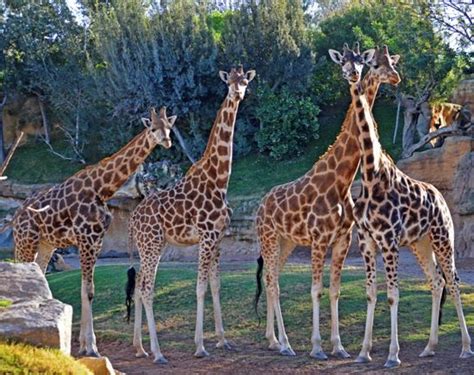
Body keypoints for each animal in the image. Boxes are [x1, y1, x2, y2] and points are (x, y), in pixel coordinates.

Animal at [13, 106, 176, 358]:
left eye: (169, 127)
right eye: (152, 128)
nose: (167, 141)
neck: (102, 188)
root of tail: (15, 216)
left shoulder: (95, 240)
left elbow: (86, 289)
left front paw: (83, 345)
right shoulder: (86, 239)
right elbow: (88, 291)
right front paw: (92, 347)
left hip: (46, 244)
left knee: (39, 275)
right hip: (26, 240)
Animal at [124, 67, 254, 364]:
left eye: (245, 81)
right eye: (229, 82)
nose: (238, 94)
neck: (219, 179)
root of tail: (133, 220)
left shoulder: (219, 238)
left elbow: (216, 285)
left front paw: (223, 340)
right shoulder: (205, 237)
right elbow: (200, 287)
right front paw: (200, 346)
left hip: (151, 246)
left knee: (139, 284)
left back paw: (139, 347)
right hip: (151, 245)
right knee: (147, 288)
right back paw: (158, 353)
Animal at [254, 44, 398, 362]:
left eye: (361, 62)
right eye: (343, 62)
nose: (353, 74)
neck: (342, 179)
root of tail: (259, 207)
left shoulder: (342, 239)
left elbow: (334, 290)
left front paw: (339, 347)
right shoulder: (319, 239)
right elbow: (315, 289)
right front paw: (318, 347)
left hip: (286, 241)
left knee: (271, 279)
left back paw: (273, 341)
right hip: (268, 238)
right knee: (274, 283)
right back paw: (286, 344)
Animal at [330, 43, 474, 368]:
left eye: (363, 62)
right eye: (345, 62)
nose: (353, 75)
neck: (371, 173)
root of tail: (442, 199)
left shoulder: (389, 240)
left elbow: (393, 294)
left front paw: (393, 355)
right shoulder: (367, 240)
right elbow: (371, 293)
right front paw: (364, 352)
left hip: (442, 237)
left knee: (454, 281)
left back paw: (465, 348)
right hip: (420, 243)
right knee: (436, 282)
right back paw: (429, 347)